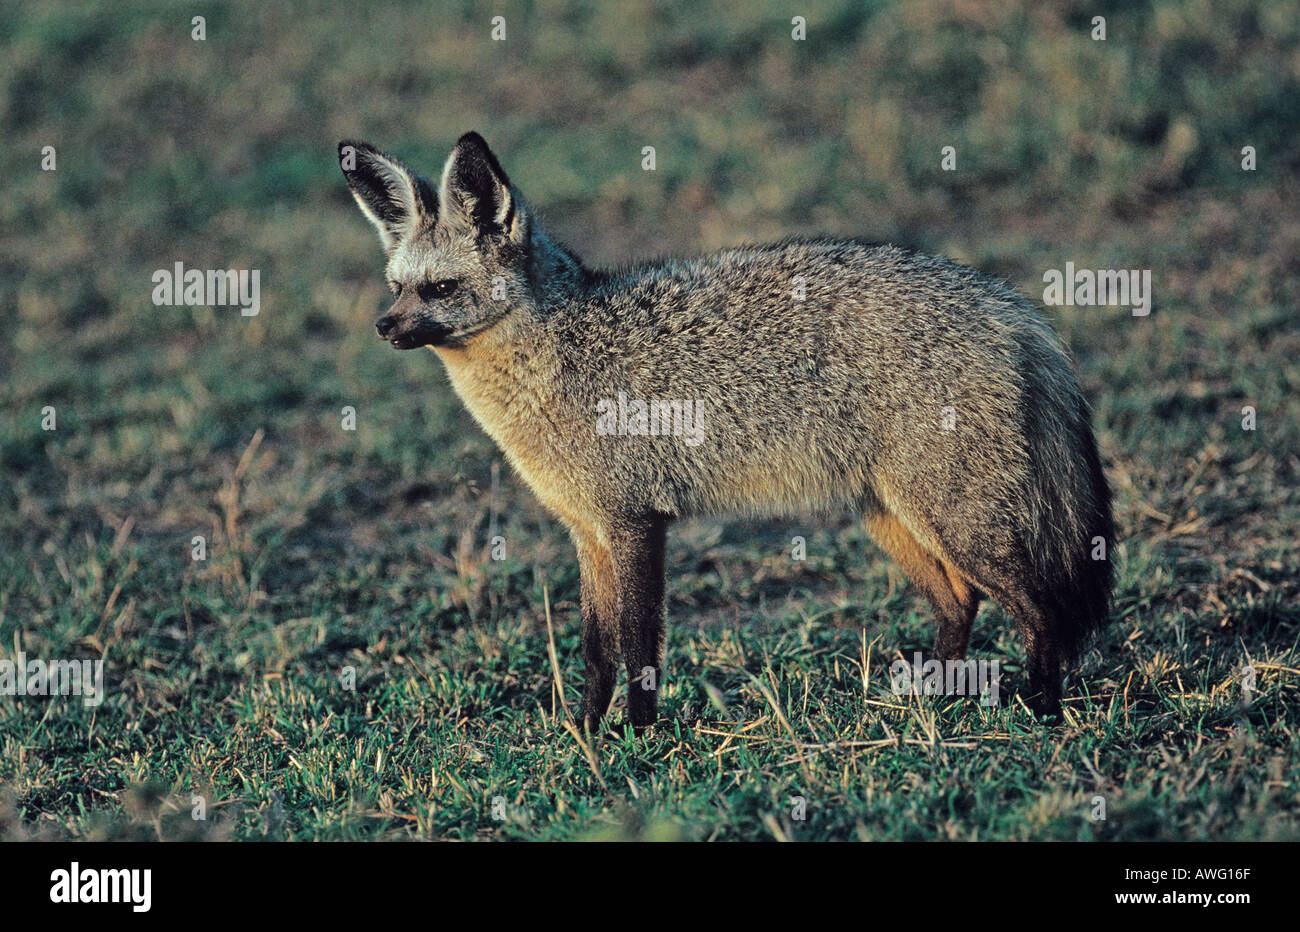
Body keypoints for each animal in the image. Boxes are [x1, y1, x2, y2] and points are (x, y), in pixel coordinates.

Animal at [338, 132, 1115, 728]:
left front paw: (637, 740)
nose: (382, 327)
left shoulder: (635, 523)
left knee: (1041, 612)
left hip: (957, 522)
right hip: (891, 517)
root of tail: (1009, 304)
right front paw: (584, 733)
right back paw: (932, 703)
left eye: (439, 289)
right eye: (395, 286)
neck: (562, 354)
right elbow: (596, 650)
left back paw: (1042, 713)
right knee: (960, 603)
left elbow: (638, 645)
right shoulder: (587, 531)